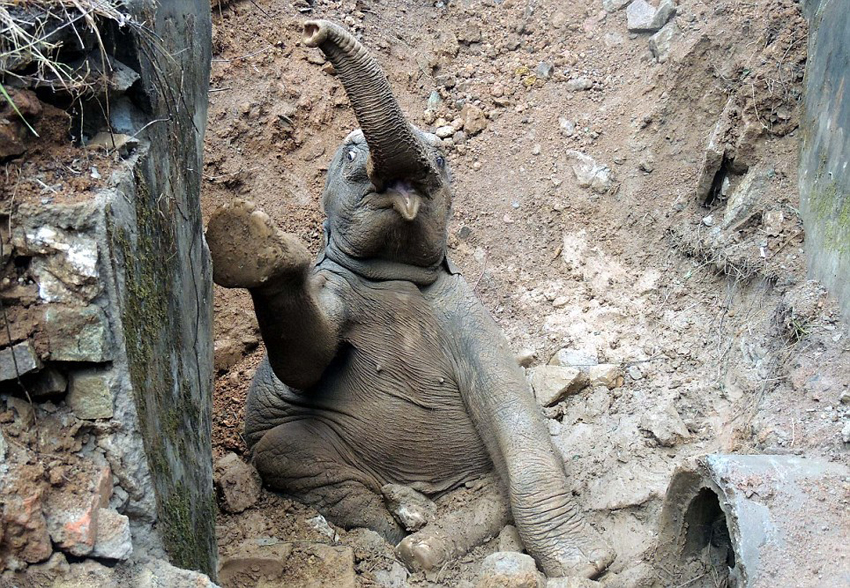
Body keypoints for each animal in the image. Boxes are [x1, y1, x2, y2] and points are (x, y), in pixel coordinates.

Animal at [205, 19, 615, 579]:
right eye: (349, 154)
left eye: (442, 157)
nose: (312, 28)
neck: (391, 274)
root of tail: (435, 489)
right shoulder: (336, 293)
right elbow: (304, 363)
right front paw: (245, 237)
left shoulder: (463, 306)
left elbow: (511, 404)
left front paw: (585, 564)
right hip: (296, 446)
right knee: (285, 454)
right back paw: (406, 527)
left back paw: (434, 528)